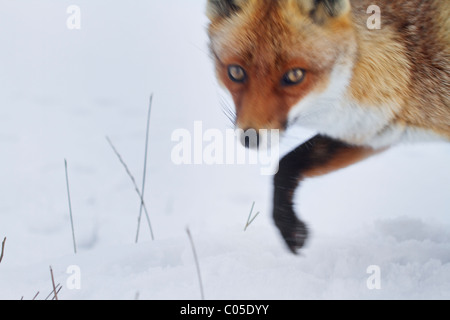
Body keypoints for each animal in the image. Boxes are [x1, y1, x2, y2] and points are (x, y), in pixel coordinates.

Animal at [207, 0, 450, 254]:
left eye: (294, 75)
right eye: (236, 72)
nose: (251, 138)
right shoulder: (373, 129)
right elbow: (286, 164)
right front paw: (289, 226)